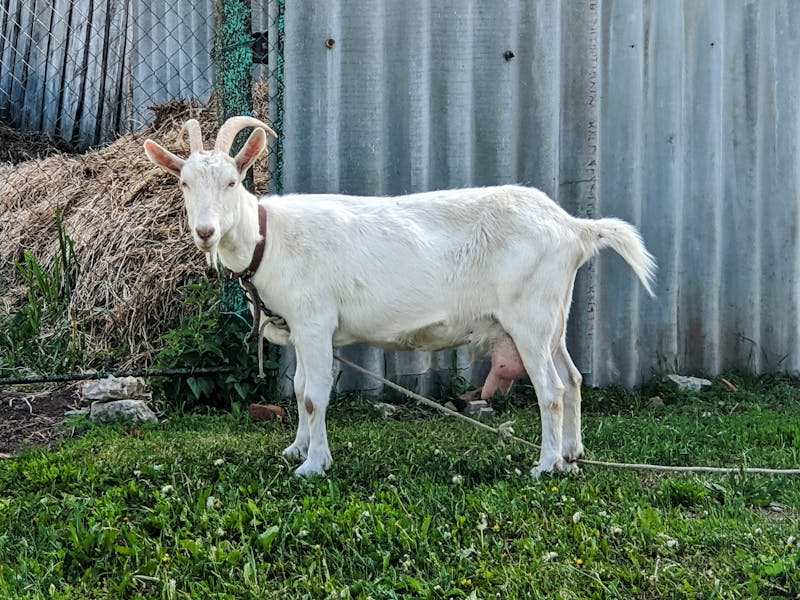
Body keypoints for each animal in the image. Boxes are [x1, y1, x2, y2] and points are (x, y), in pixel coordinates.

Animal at [144, 116, 656, 478]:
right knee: (572, 379)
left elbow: (313, 395)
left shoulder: (315, 322)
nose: (205, 232)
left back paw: (546, 465)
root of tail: (573, 227)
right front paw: (297, 448)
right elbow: (299, 388)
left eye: (232, 182)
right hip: (553, 316)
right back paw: (572, 453)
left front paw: (313, 466)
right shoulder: (303, 328)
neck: (269, 238)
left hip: (529, 317)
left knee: (551, 389)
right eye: (184, 183)